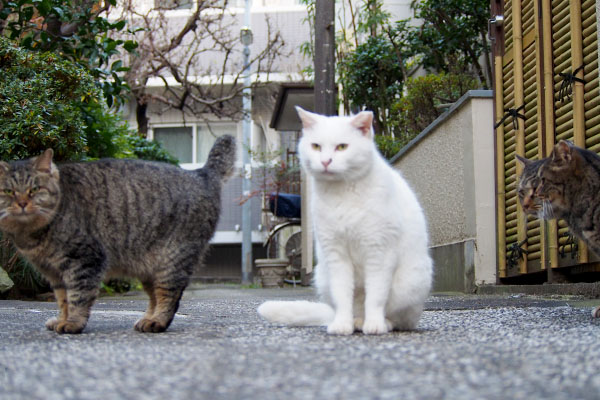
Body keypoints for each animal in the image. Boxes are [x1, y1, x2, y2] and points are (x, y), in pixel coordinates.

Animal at [0, 136, 237, 332]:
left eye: (34, 189)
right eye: (8, 192)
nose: (22, 203)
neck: (31, 235)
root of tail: (200, 173)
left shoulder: (85, 261)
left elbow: (77, 297)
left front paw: (73, 323)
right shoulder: (55, 274)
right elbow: (62, 300)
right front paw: (61, 319)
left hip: (172, 260)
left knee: (169, 296)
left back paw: (157, 321)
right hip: (149, 269)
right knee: (154, 296)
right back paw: (147, 319)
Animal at [256, 107, 432, 334]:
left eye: (342, 147)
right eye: (316, 146)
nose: (325, 161)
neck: (342, 194)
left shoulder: (378, 253)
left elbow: (376, 296)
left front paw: (375, 325)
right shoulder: (336, 254)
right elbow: (342, 295)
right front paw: (342, 325)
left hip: (409, 283)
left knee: (401, 319)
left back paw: (382, 323)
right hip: (324, 277)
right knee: (352, 307)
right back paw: (354, 322)